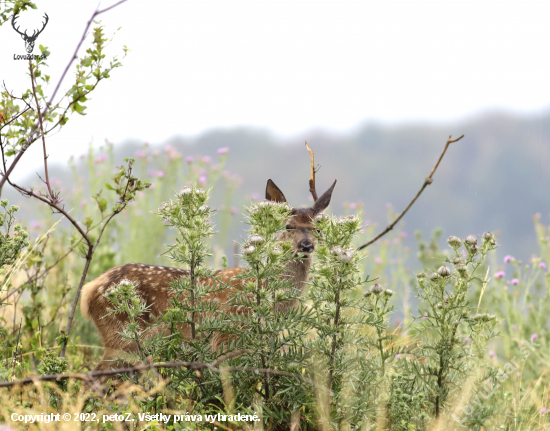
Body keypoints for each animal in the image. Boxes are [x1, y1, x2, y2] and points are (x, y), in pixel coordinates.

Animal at [78, 178, 336, 372]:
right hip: (121, 335)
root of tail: (89, 290)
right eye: (288, 226)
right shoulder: (227, 336)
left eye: (318, 228)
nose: (306, 246)